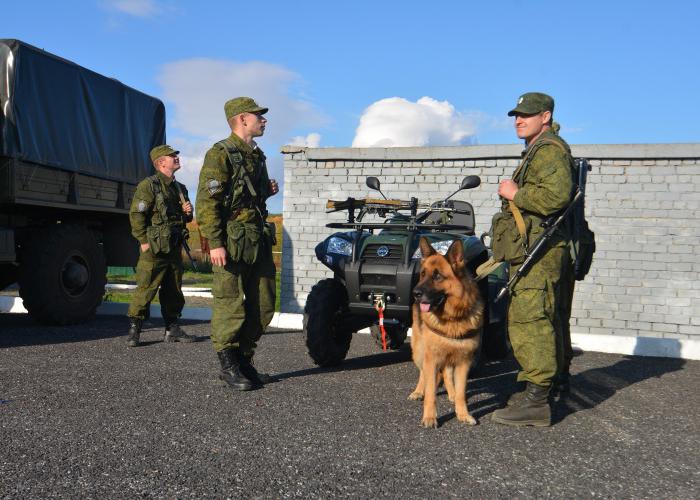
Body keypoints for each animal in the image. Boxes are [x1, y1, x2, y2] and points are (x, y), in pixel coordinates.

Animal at [408, 236, 484, 428]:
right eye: (423, 274)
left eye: (437, 276)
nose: (415, 293)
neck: (452, 318)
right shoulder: (431, 359)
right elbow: (430, 394)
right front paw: (429, 417)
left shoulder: (464, 361)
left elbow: (461, 392)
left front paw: (462, 414)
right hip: (420, 352)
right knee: (423, 374)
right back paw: (418, 391)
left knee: (448, 375)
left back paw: (451, 393)